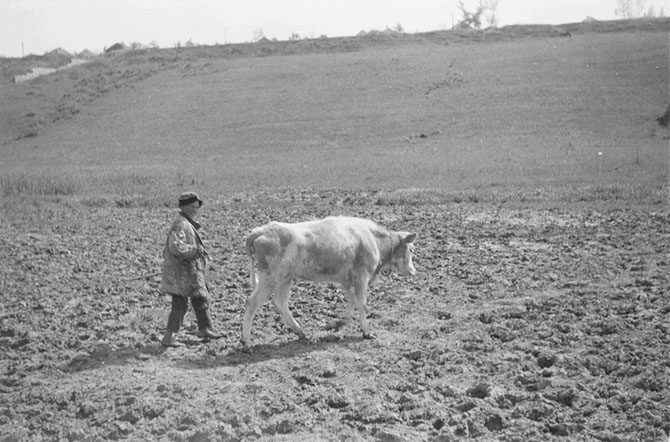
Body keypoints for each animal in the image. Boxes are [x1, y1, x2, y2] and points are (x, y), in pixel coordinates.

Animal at [242, 216, 420, 350]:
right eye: (411, 249)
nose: (414, 271)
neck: (373, 239)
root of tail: (260, 231)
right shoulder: (361, 276)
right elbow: (361, 303)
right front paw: (366, 332)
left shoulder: (346, 280)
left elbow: (353, 301)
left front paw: (336, 324)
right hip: (270, 277)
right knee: (252, 302)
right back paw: (246, 342)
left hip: (285, 278)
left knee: (281, 302)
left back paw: (300, 332)